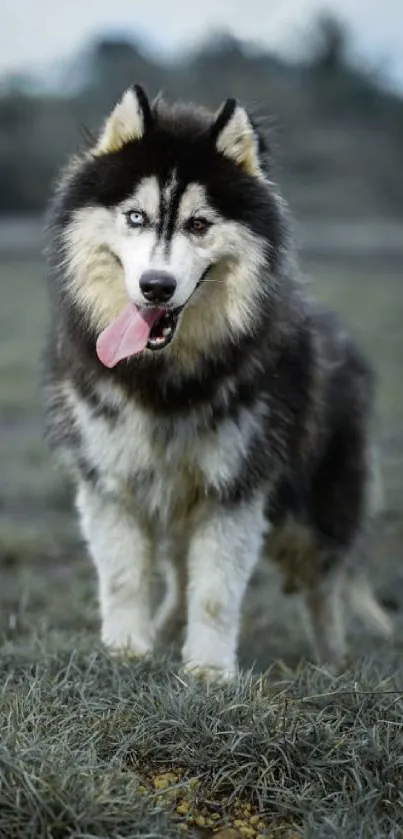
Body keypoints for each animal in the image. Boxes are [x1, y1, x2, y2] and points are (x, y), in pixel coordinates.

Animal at [43, 85, 392, 680]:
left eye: (199, 225)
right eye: (135, 217)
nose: (156, 287)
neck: (165, 377)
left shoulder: (235, 486)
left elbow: (216, 591)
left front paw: (208, 672)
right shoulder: (110, 478)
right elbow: (125, 578)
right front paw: (127, 652)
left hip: (314, 511)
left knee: (321, 583)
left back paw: (332, 662)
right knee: (181, 577)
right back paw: (164, 632)